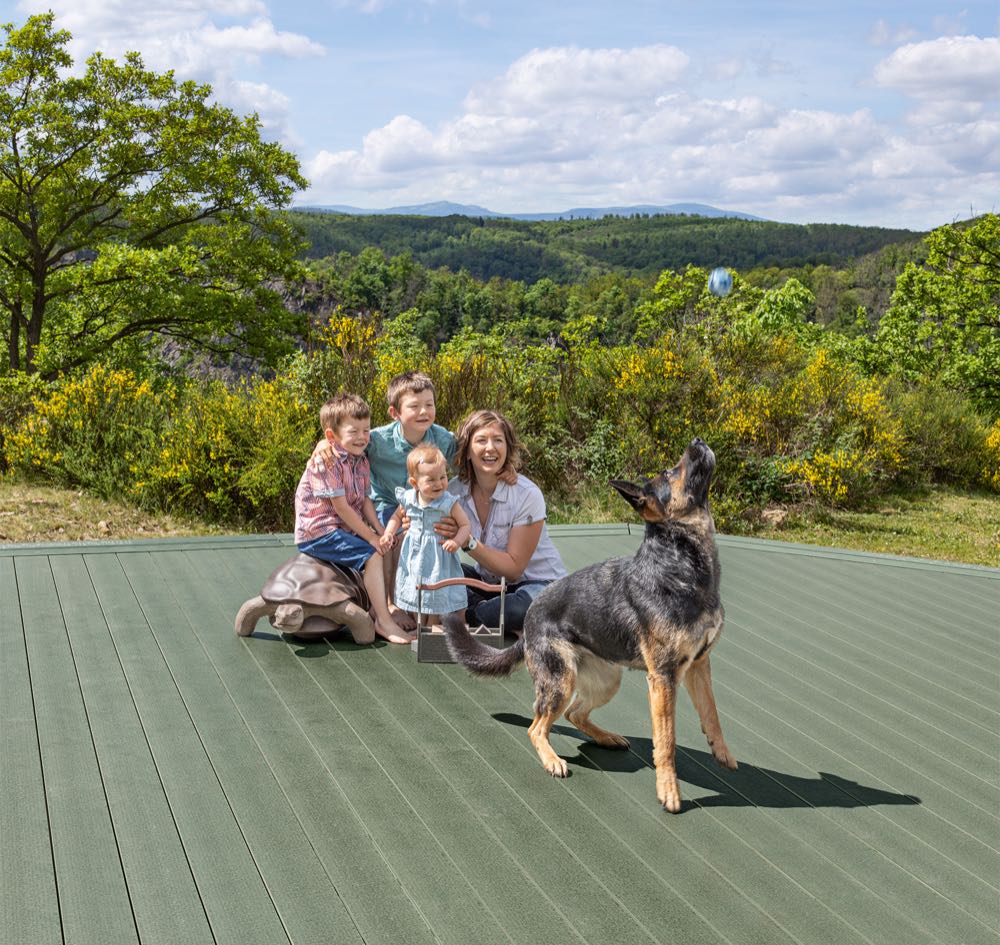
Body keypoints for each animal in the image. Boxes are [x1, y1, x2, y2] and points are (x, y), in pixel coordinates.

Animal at [446, 436, 736, 812]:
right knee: (537, 727)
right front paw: (669, 790)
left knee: (574, 714)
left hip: (606, 681)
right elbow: (666, 740)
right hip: (561, 681)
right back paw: (552, 760)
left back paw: (606, 737)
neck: (680, 561)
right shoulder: (664, 677)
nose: (697, 441)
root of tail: (530, 618)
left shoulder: (699, 665)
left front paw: (722, 753)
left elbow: (712, 714)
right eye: (669, 472)